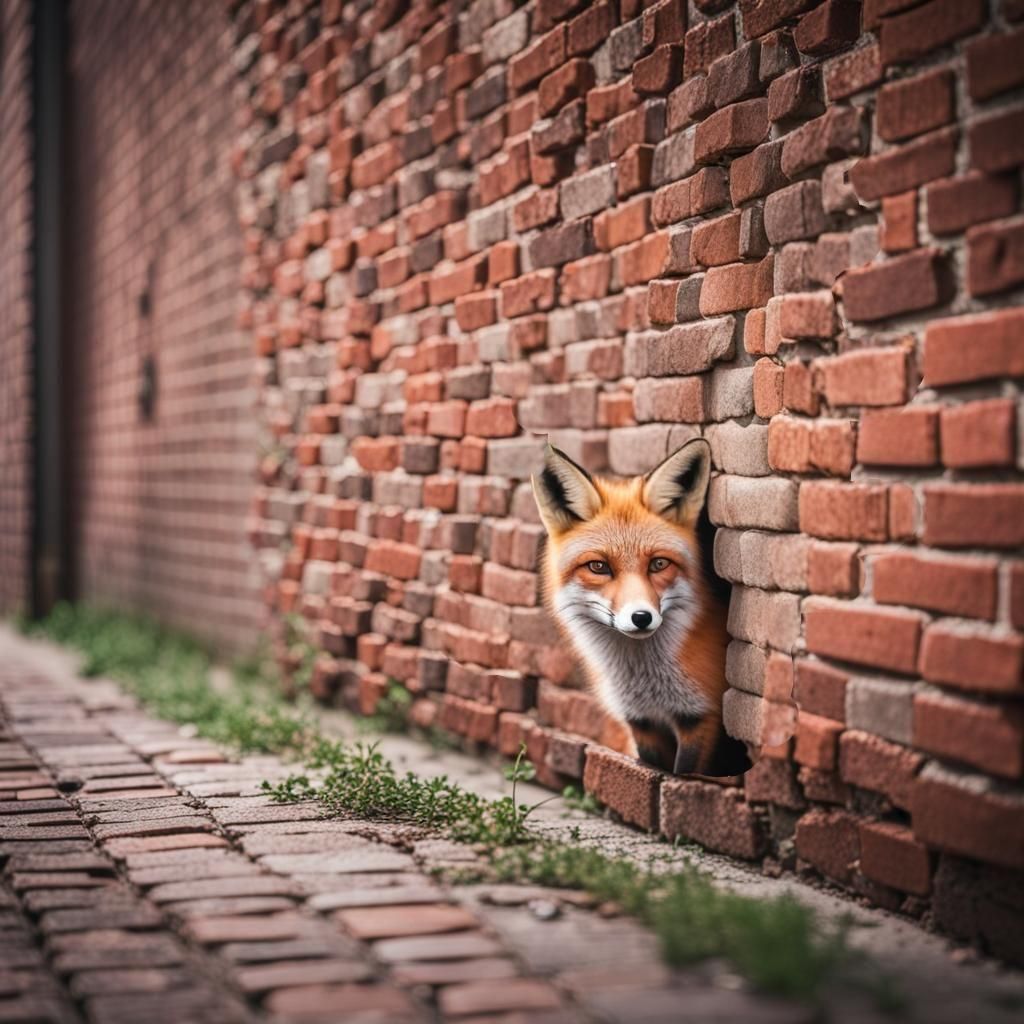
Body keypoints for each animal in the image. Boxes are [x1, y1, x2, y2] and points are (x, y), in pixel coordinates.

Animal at [532, 438, 753, 778]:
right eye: (598, 567)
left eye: (658, 564)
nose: (641, 617)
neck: (646, 683)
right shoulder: (640, 721)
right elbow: (649, 767)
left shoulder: (701, 718)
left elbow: (683, 774)